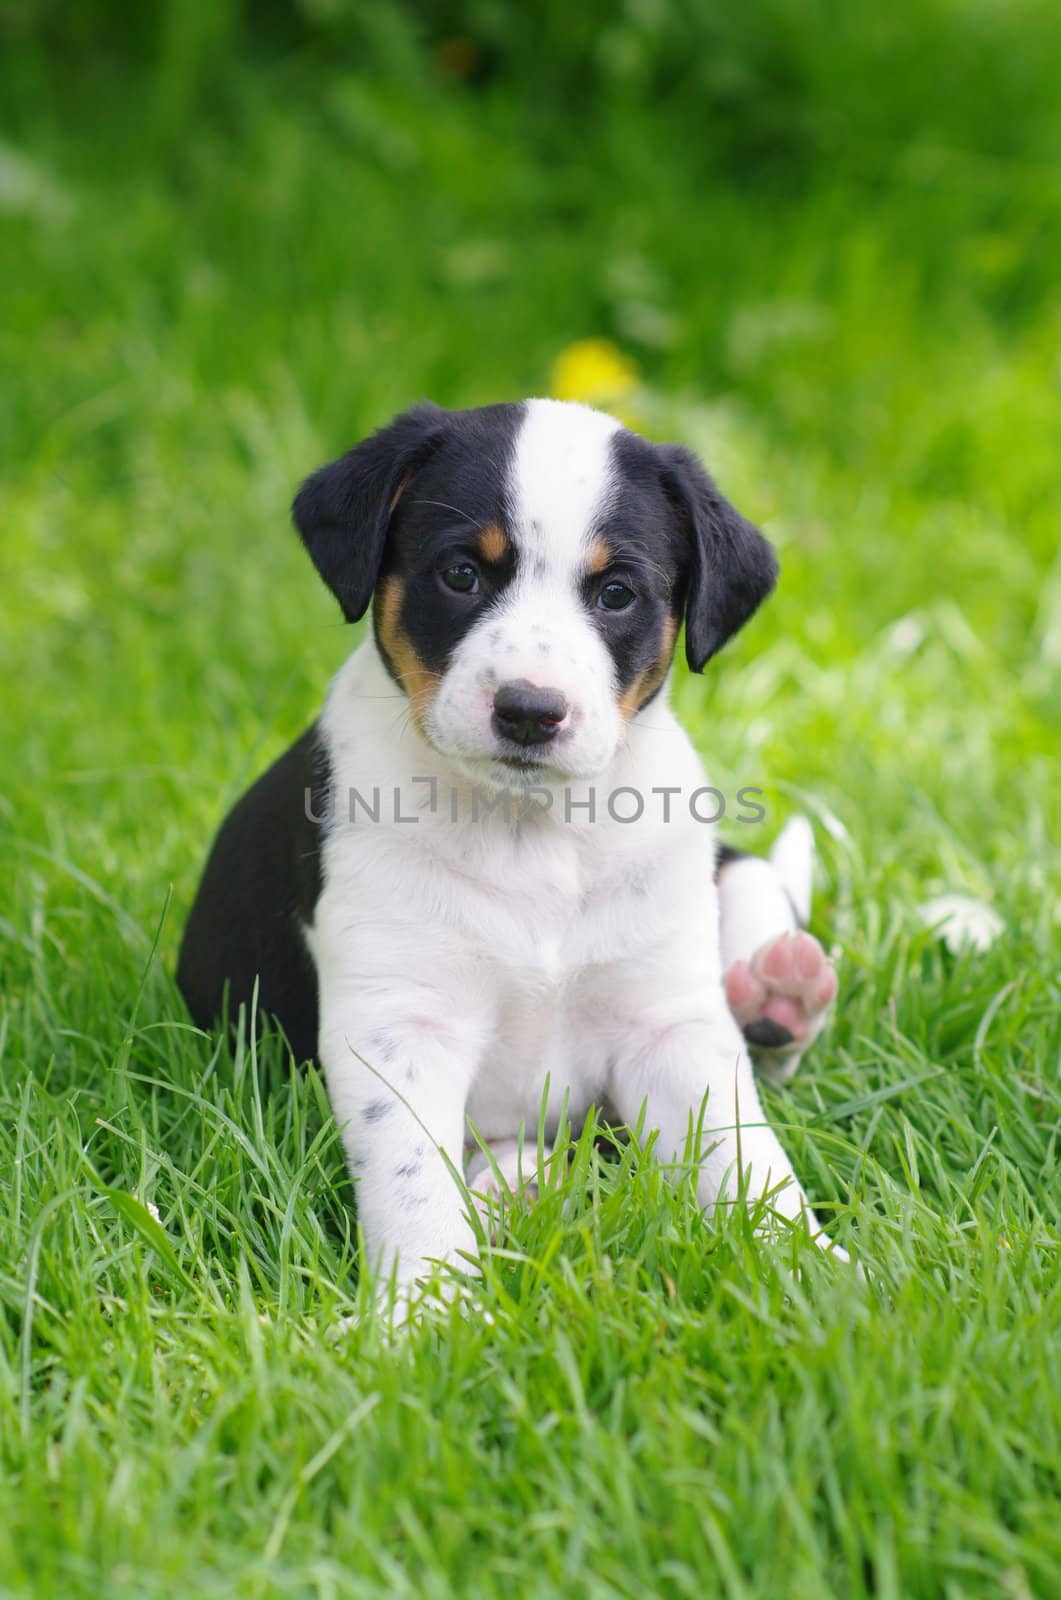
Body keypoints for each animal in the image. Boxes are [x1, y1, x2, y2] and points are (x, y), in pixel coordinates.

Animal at [182, 393, 844, 1305]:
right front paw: (424, 1311)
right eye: (461, 574)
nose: (530, 710)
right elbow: (413, 1181)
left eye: (615, 593)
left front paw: (819, 1273)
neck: (532, 832)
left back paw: (782, 992)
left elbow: (749, 1162)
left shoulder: (668, 1029)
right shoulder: (399, 1026)